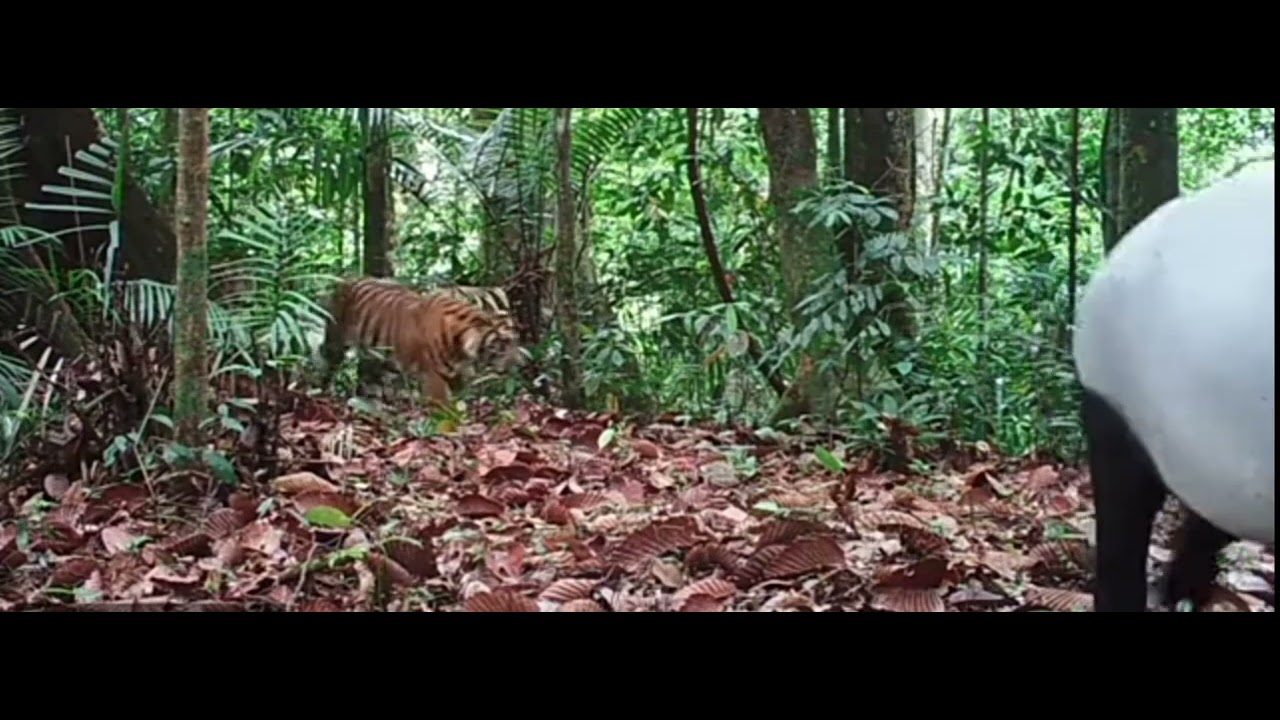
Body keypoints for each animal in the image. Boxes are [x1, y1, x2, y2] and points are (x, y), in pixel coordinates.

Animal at [318, 277, 527, 409]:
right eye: (501, 344)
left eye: (515, 341)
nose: (521, 364)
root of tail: (346, 281)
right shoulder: (433, 376)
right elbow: (444, 406)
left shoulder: (456, 374)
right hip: (335, 341)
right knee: (328, 366)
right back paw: (323, 393)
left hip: (387, 359)